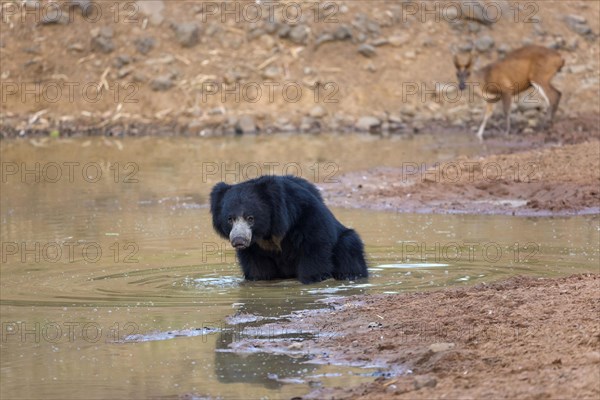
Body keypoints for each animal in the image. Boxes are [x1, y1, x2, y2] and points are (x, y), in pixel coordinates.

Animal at [209, 176, 368, 284]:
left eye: (250, 218)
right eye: (230, 219)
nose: (239, 240)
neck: (267, 232)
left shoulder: (304, 214)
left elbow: (314, 246)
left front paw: (313, 278)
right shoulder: (253, 247)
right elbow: (256, 267)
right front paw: (258, 280)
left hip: (346, 241)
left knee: (348, 249)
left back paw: (350, 275)